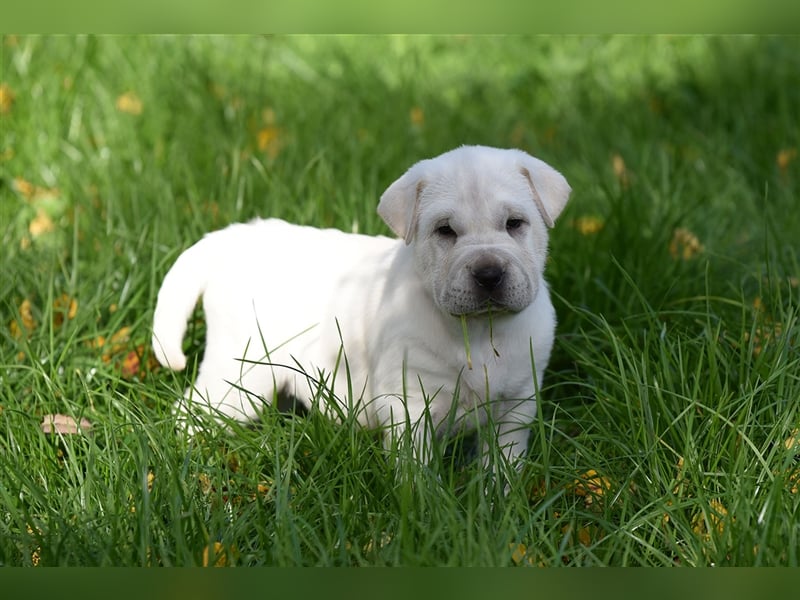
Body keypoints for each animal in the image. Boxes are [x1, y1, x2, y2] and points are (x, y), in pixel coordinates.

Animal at [153, 145, 572, 468]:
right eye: (445, 231)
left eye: (515, 223)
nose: (488, 274)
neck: (481, 332)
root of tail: (230, 238)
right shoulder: (410, 402)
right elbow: (415, 470)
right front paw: (420, 509)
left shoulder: (517, 405)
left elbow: (503, 465)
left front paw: (499, 505)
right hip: (239, 373)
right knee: (190, 411)